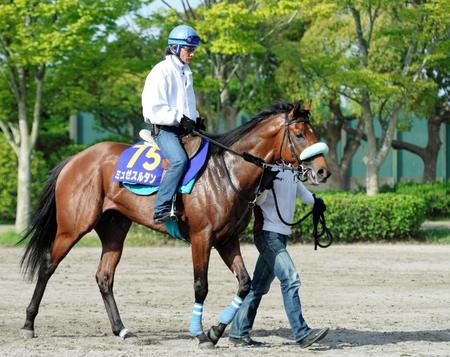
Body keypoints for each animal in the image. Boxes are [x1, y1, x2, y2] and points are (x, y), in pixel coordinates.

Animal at [19, 101, 328, 346]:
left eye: (314, 132)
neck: (227, 172)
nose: (323, 171)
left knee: (104, 277)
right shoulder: (202, 238)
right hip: (73, 227)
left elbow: (244, 284)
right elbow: (201, 286)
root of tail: (76, 158)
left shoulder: (227, 240)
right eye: (299, 134)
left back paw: (121, 329)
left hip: (114, 230)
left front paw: (215, 331)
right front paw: (200, 333)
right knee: (47, 266)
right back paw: (29, 324)